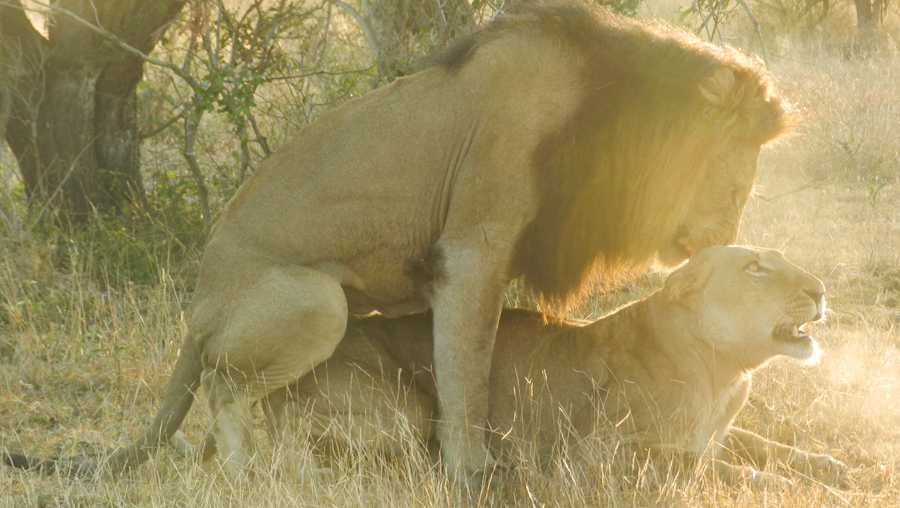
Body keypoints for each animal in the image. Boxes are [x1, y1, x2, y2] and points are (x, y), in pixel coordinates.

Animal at [257, 246, 847, 487]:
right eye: (755, 268)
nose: (821, 290)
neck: (726, 373)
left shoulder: (717, 430)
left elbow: (762, 445)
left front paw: (827, 465)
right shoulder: (597, 455)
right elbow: (702, 466)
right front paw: (801, 488)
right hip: (410, 408)